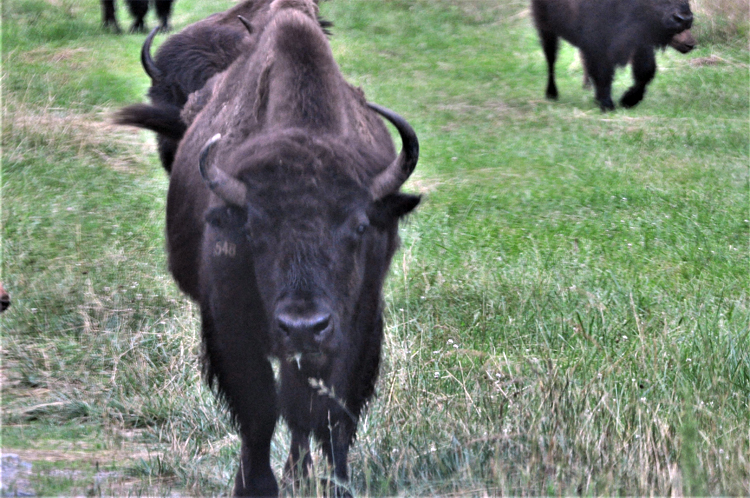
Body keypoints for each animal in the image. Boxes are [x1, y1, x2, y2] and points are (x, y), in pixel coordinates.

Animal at [118, 1, 424, 496]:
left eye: (360, 226)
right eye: (253, 230)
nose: (303, 325)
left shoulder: (357, 321)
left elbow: (330, 411)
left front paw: (336, 482)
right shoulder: (229, 322)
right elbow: (260, 408)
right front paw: (255, 485)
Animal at [532, 0, 696, 110]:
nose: (684, 19)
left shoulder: (640, 42)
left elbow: (646, 71)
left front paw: (628, 100)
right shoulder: (597, 42)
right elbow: (603, 72)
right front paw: (607, 104)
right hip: (546, 29)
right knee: (551, 60)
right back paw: (552, 94)